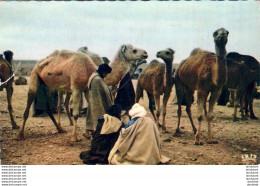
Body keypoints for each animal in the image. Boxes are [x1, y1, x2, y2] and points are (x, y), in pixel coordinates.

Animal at [17, 44, 148, 142]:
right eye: (134, 50)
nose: (146, 53)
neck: (89, 69)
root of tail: (39, 62)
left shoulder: (86, 89)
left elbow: (89, 109)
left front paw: (87, 134)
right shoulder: (76, 89)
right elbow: (75, 114)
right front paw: (74, 137)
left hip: (49, 85)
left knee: (50, 107)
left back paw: (60, 129)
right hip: (35, 76)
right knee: (30, 103)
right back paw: (20, 134)